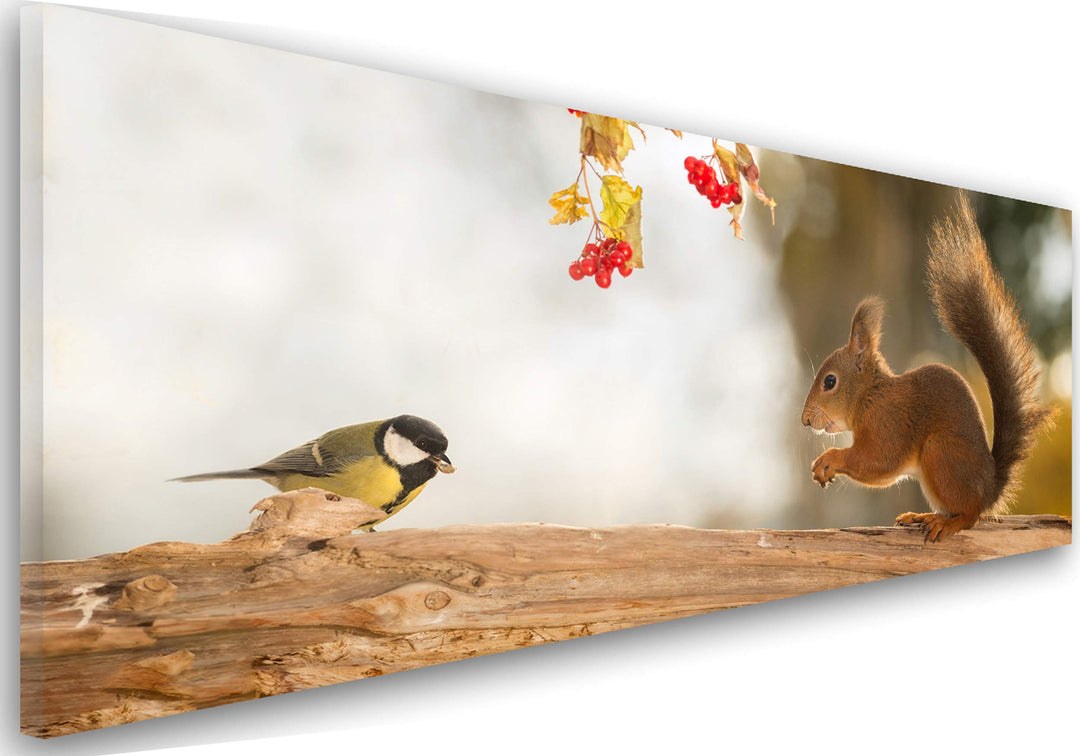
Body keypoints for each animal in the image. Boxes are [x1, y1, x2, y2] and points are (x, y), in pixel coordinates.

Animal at [800, 194, 1055, 542]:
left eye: (829, 382)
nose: (805, 420)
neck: (870, 396)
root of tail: (989, 490)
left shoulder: (888, 423)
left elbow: (877, 460)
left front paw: (829, 459)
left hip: (940, 453)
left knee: (970, 515)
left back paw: (946, 523)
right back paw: (921, 516)